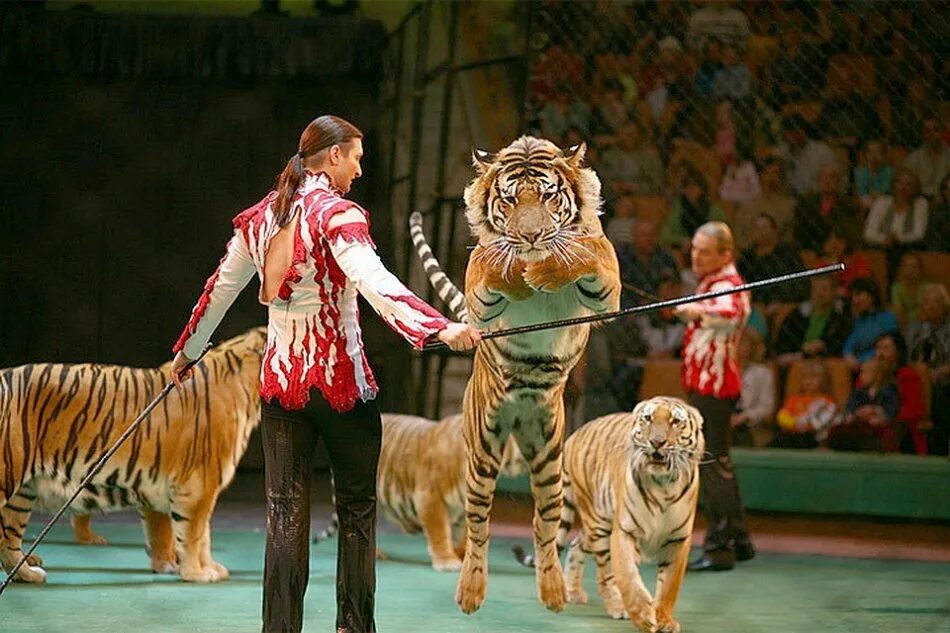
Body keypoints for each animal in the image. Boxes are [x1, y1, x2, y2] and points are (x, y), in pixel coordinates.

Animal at [0, 326, 266, 584]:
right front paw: (197, 573)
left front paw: (185, 566)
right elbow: (194, 534)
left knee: (8, 540)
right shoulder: (198, 486)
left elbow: (179, 533)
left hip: (23, 492)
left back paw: (27, 574)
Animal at [410, 135, 624, 612]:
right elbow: (492, 262)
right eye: (509, 199)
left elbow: (582, 254)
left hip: (549, 457)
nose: (530, 235)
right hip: (482, 452)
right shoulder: (479, 295)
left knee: (545, 527)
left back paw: (554, 590)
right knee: (477, 526)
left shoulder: (607, 290)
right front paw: (517, 271)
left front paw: (543, 269)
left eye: (547, 196)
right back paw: (470, 590)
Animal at [512, 398, 708, 628]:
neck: (663, 485)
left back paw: (573, 591)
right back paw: (617, 607)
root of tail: (574, 435)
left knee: (576, 544)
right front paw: (642, 614)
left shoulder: (678, 540)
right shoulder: (624, 531)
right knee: (605, 573)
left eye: (676, 421)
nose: (657, 442)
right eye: (648, 418)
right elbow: (628, 576)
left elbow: (669, 586)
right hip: (599, 524)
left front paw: (664, 620)